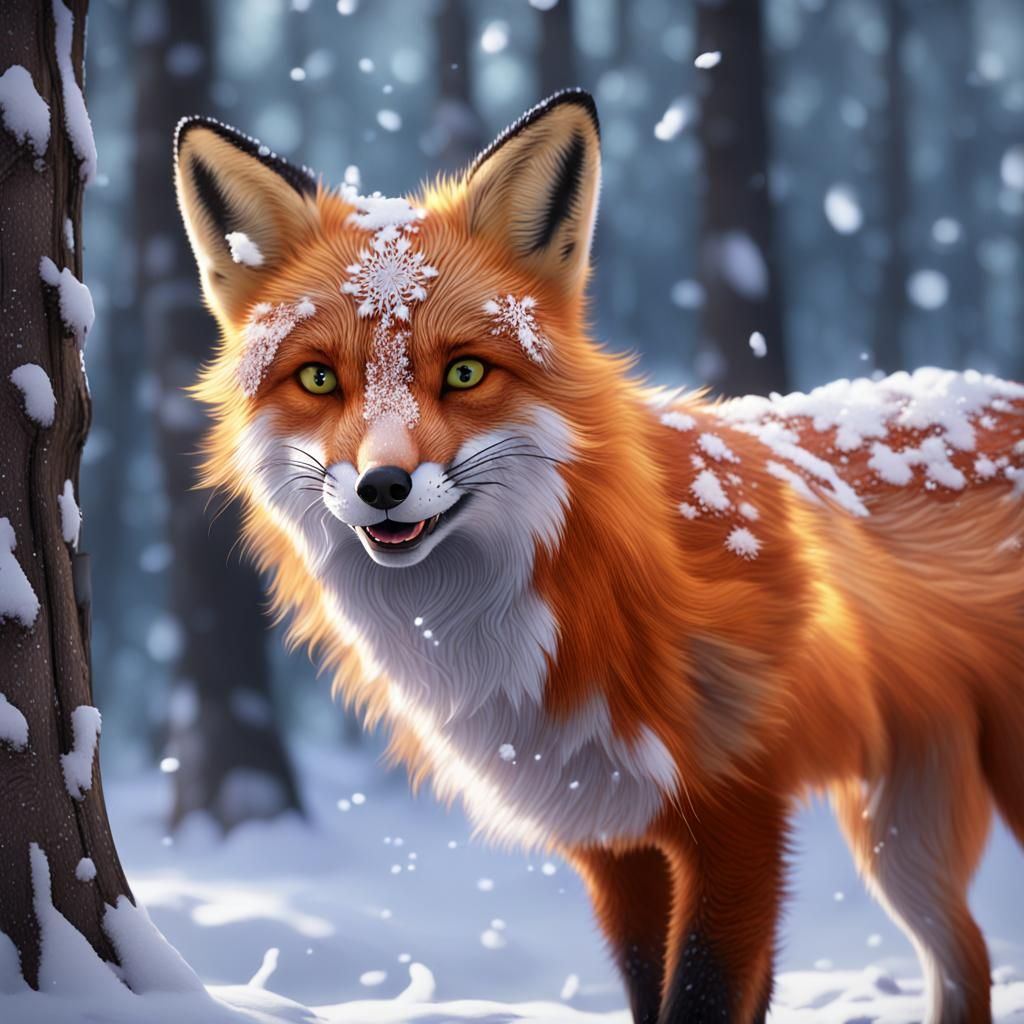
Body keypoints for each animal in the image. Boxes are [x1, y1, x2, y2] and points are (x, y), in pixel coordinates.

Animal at [173, 90, 1024, 1024]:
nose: (383, 486)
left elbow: (701, 998)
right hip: (896, 835)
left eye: (465, 373)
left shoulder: (738, 821)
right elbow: (654, 991)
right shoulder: (614, 837)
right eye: (319, 379)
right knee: (967, 957)